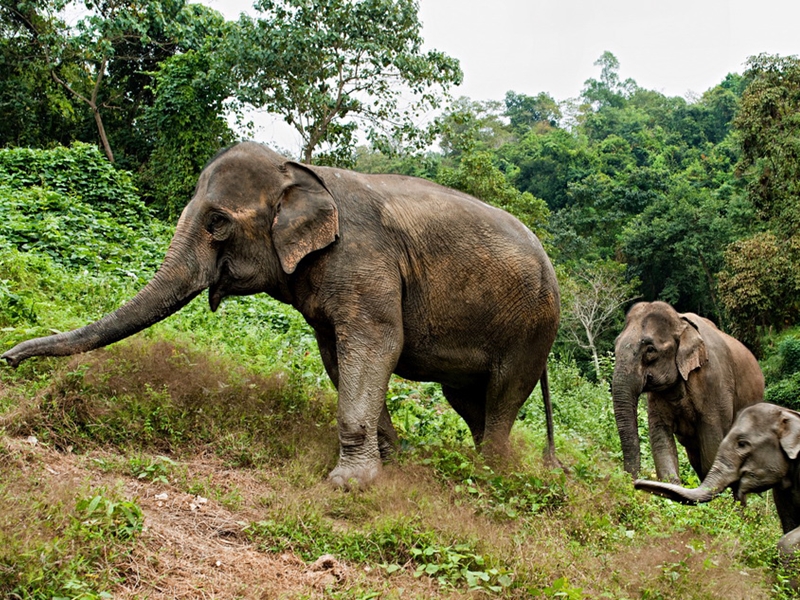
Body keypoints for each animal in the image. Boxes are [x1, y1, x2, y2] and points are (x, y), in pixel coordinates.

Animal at [2, 141, 561, 488]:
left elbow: (376, 343)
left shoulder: (363, 259)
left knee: (503, 393)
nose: (9, 357)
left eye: (217, 222)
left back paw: (488, 476)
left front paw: (348, 484)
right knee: (468, 399)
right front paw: (393, 463)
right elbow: (336, 354)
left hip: (533, 327)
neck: (299, 171)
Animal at [612, 301, 764, 484]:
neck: (681, 322)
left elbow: (712, 446)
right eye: (615, 345)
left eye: (650, 349)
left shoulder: (714, 382)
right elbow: (660, 440)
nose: (631, 480)